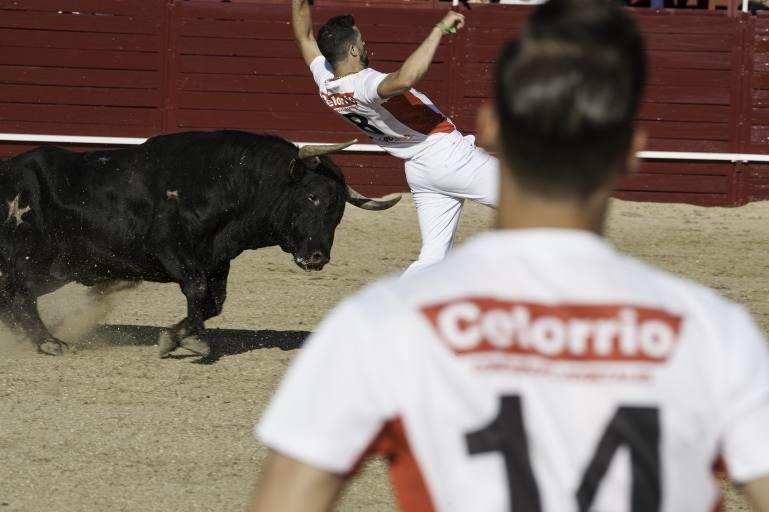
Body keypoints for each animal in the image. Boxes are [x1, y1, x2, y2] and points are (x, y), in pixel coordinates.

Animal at [0, 130, 396, 356]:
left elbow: (213, 302)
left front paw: (176, 336)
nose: (316, 257)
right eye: (312, 196)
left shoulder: (218, 259)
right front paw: (192, 341)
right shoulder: (171, 248)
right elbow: (196, 288)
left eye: (339, 208)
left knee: (13, 298)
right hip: (30, 260)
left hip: (54, 269)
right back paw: (49, 342)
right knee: (20, 296)